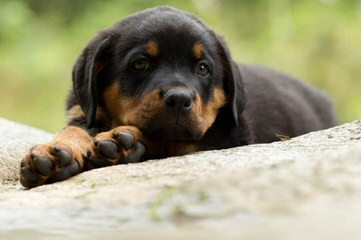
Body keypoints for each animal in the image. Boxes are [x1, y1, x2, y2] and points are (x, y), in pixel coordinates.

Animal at [19, 7, 336, 188]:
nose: (180, 99)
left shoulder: (225, 135)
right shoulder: (83, 111)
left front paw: (124, 143)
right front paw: (55, 152)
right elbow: (74, 129)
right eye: (141, 64)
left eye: (203, 68)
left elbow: (168, 139)